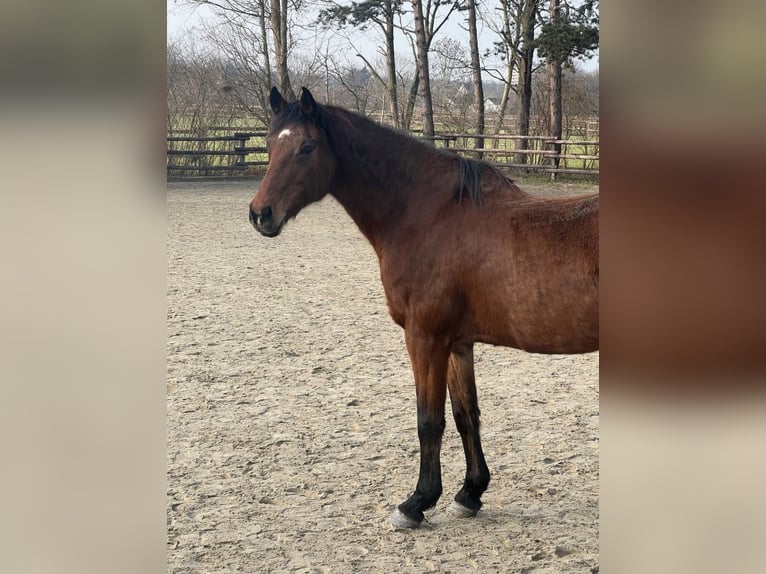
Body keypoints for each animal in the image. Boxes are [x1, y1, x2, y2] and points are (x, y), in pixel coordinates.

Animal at [249, 87, 599, 529]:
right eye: (269, 144)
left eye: (306, 147)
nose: (260, 214)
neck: (429, 215)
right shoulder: (457, 343)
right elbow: (466, 414)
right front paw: (470, 493)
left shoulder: (424, 337)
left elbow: (428, 421)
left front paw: (416, 502)